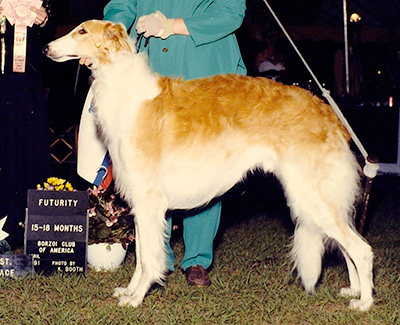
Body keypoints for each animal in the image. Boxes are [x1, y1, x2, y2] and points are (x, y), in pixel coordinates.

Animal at [43, 19, 376, 308]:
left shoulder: (149, 201)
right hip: (320, 200)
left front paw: (136, 298)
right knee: (348, 248)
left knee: (362, 249)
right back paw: (354, 290)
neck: (129, 96)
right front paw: (128, 290)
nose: (46, 48)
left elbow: (148, 259)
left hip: (311, 197)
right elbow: (140, 257)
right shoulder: (140, 203)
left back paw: (365, 303)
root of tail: (330, 116)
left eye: (82, 31)